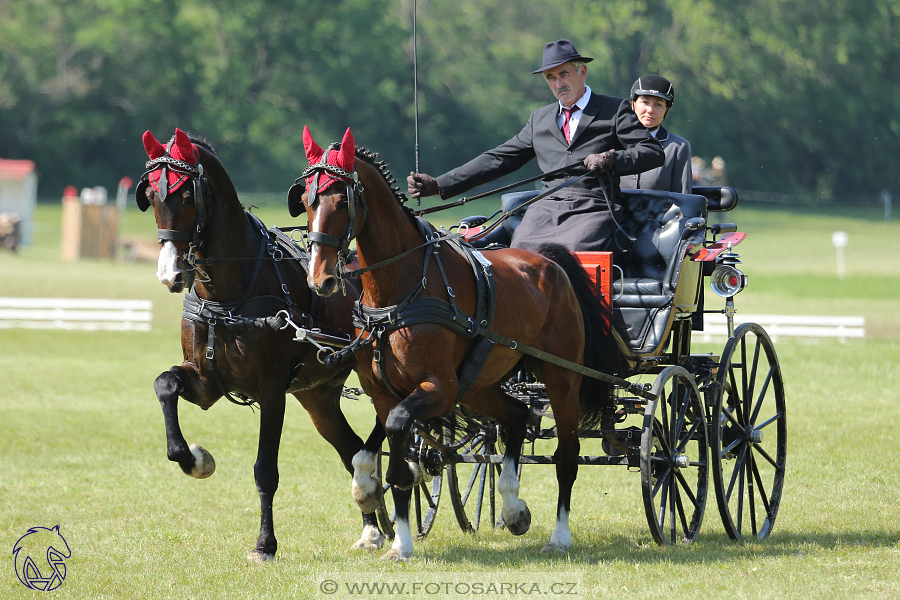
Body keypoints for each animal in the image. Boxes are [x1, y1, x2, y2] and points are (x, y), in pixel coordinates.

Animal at [139, 127, 384, 564]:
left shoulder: (271, 391)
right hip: (318, 396)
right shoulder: (205, 381)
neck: (231, 293)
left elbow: (264, 470)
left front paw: (264, 546)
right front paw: (195, 459)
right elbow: (164, 385)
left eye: (187, 196)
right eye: (150, 195)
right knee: (349, 448)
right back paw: (371, 526)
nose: (170, 274)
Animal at [296, 127, 620, 564]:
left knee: (566, 458)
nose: (321, 279)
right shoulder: (382, 390)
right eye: (305, 200)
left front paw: (400, 540)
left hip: (562, 379)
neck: (399, 294)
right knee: (517, 416)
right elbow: (381, 455)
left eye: (341, 199)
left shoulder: (439, 387)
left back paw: (560, 536)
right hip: (480, 384)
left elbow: (399, 451)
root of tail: (549, 262)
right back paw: (513, 509)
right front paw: (392, 533)